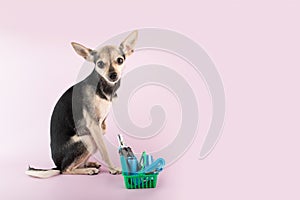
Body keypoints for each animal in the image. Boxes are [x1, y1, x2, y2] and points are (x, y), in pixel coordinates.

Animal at [25, 30, 138, 178]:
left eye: (120, 60)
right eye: (100, 64)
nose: (113, 75)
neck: (102, 86)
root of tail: (56, 164)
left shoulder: (101, 125)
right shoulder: (93, 125)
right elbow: (104, 150)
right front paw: (112, 168)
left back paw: (88, 164)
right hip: (88, 141)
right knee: (65, 169)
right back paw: (87, 170)